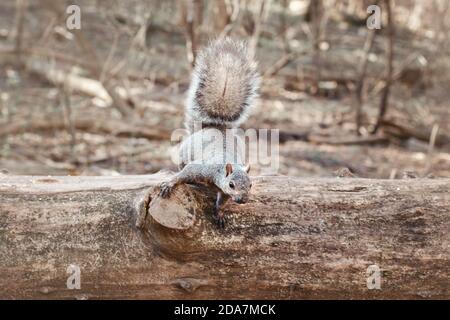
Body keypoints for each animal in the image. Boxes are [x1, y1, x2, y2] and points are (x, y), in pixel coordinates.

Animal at [160, 38, 262, 228]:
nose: (243, 200)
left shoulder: (224, 193)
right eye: (231, 184)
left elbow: (221, 202)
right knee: (182, 164)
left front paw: (219, 213)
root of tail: (214, 127)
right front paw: (169, 183)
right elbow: (184, 174)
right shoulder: (201, 168)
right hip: (185, 152)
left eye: (251, 185)